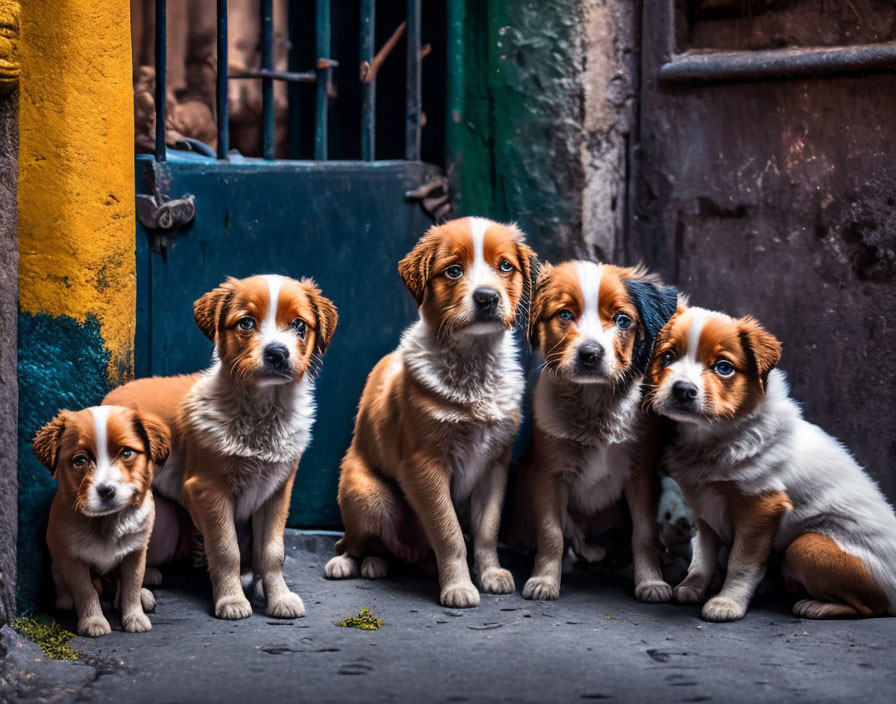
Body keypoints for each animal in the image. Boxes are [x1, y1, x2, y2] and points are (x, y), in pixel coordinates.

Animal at [34, 404, 171, 636]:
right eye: (80, 460)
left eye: (127, 453)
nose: (106, 491)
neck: (107, 521)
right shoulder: (72, 558)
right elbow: (85, 590)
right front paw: (93, 621)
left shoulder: (135, 553)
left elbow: (131, 587)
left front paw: (134, 616)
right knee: (59, 576)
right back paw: (65, 600)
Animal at [105, 276, 336, 620]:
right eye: (246, 322)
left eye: (298, 325)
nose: (277, 354)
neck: (262, 413)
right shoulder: (207, 489)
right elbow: (226, 550)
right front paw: (231, 600)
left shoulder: (276, 491)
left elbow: (272, 552)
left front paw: (279, 597)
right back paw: (138, 594)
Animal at [326, 217, 536, 608]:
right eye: (453, 271)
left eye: (505, 266)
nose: (487, 298)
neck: (473, 363)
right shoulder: (425, 467)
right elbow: (448, 532)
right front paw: (459, 587)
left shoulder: (495, 465)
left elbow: (486, 531)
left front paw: (490, 573)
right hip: (368, 495)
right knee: (354, 540)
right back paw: (350, 563)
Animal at [516, 262, 676, 604]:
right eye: (564, 314)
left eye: (622, 320)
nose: (590, 354)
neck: (594, 406)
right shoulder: (547, 474)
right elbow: (551, 533)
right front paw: (544, 580)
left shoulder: (641, 475)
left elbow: (644, 533)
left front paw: (650, 582)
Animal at [648, 308, 896, 620]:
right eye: (667, 357)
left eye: (724, 367)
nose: (682, 390)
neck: (717, 437)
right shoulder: (704, 507)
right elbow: (703, 554)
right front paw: (692, 586)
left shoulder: (761, 509)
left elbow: (741, 564)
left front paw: (727, 602)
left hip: (805, 545)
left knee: (872, 607)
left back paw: (815, 606)